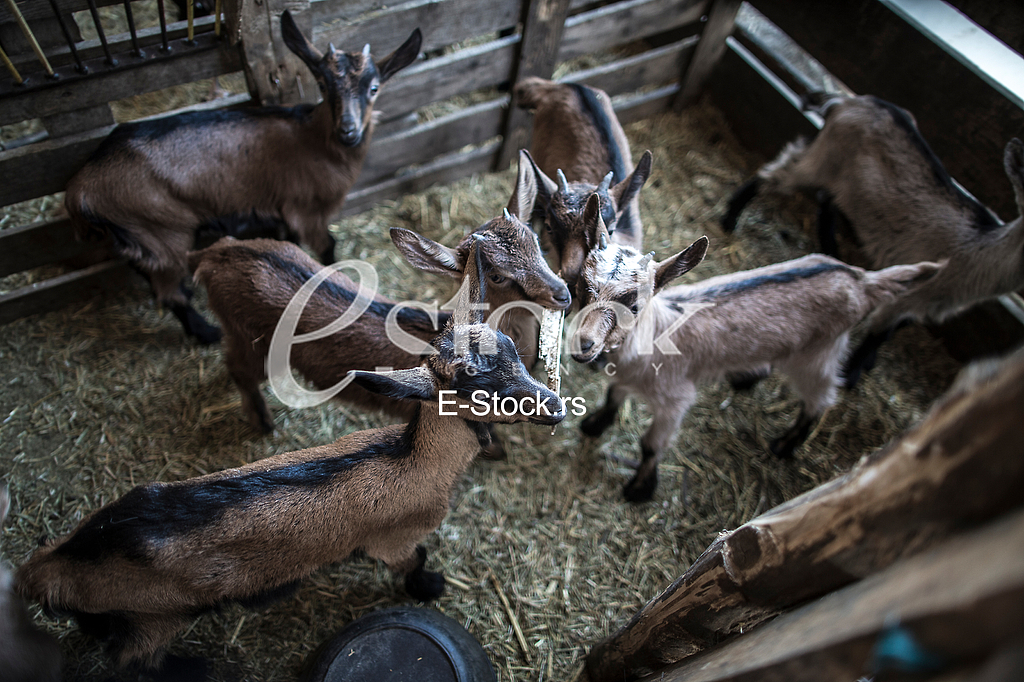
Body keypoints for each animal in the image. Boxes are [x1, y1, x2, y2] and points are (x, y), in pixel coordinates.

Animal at [15, 242, 566, 672]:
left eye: (512, 351)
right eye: (480, 390)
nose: (555, 407)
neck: (413, 459)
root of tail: (51, 568)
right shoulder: (393, 539)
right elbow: (415, 559)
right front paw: (429, 586)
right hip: (155, 617)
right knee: (135, 659)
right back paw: (196, 666)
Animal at [64, 10, 421, 344]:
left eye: (373, 88)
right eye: (322, 85)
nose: (348, 130)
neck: (314, 138)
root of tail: (79, 191)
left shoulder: (281, 210)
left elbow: (287, 242)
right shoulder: (307, 209)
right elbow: (326, 246)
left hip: (140, 240)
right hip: (161, 233)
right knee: (170, 292)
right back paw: (207, 333)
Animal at [189, 162, 569, 436]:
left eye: (536, 239)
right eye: (497, 275)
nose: (563, 293)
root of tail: (217, 253)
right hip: (249, 340)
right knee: (238, 369)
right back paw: (263, 422)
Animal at [569, 218, 940, 502]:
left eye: (633, 305)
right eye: (582, 286)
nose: (583, 344)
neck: (654, 334)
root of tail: (861, 281)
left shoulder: (675, 398)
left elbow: (650, 445)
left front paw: (639, 490)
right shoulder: (625, 377)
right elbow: (613, 395)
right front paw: (594, 425)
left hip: (818, 353)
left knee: (822, 398)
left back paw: (785, 444)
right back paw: (747, 376)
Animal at [720, 94, 1024, 388]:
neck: (979, 247)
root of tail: (847, 101)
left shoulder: (926, 300)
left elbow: (890, 331)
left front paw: (865, 364)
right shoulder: (916, 293)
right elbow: (879, 331)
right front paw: (852, 374)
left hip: (844, 178)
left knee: (825, 199)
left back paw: (833, 250)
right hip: (823, 161)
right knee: (777, 174)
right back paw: (730, 218)